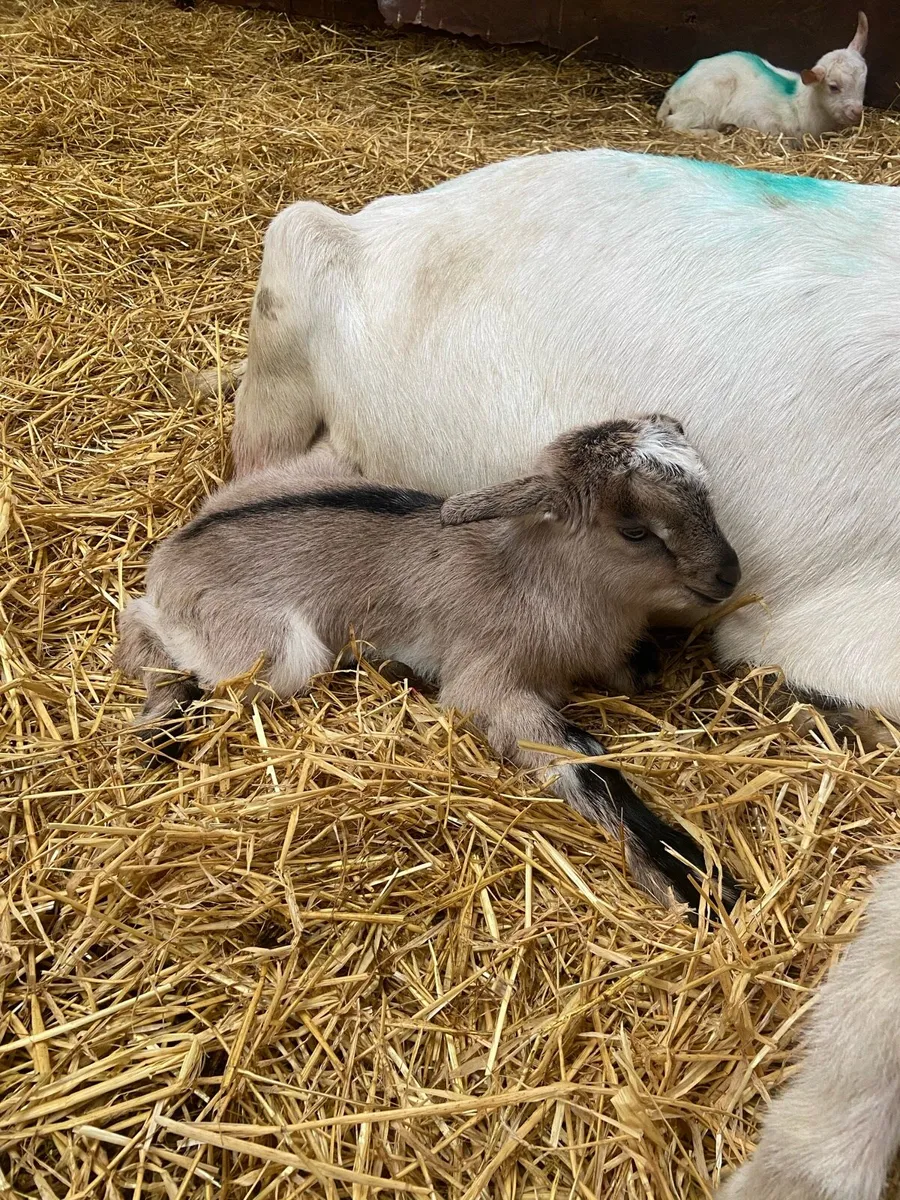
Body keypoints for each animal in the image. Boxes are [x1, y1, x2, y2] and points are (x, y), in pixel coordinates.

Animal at [117, 416, 741, 915]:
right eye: (635, 531)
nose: (729, 575)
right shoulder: (486, 682)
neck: (532, 580)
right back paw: (159, 726)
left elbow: (634, 674)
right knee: (144, 626)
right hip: (277, 650)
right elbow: (583, 758)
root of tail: (175, 551)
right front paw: (693, 881)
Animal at [658, 12, 868, 138]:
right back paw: (712, 133)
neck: (799, 102)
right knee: (673, 122)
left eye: (863, 83)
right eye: (833, 87)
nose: (857, 112)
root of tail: (672, 93)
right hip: (704, 102)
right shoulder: (764, 121)